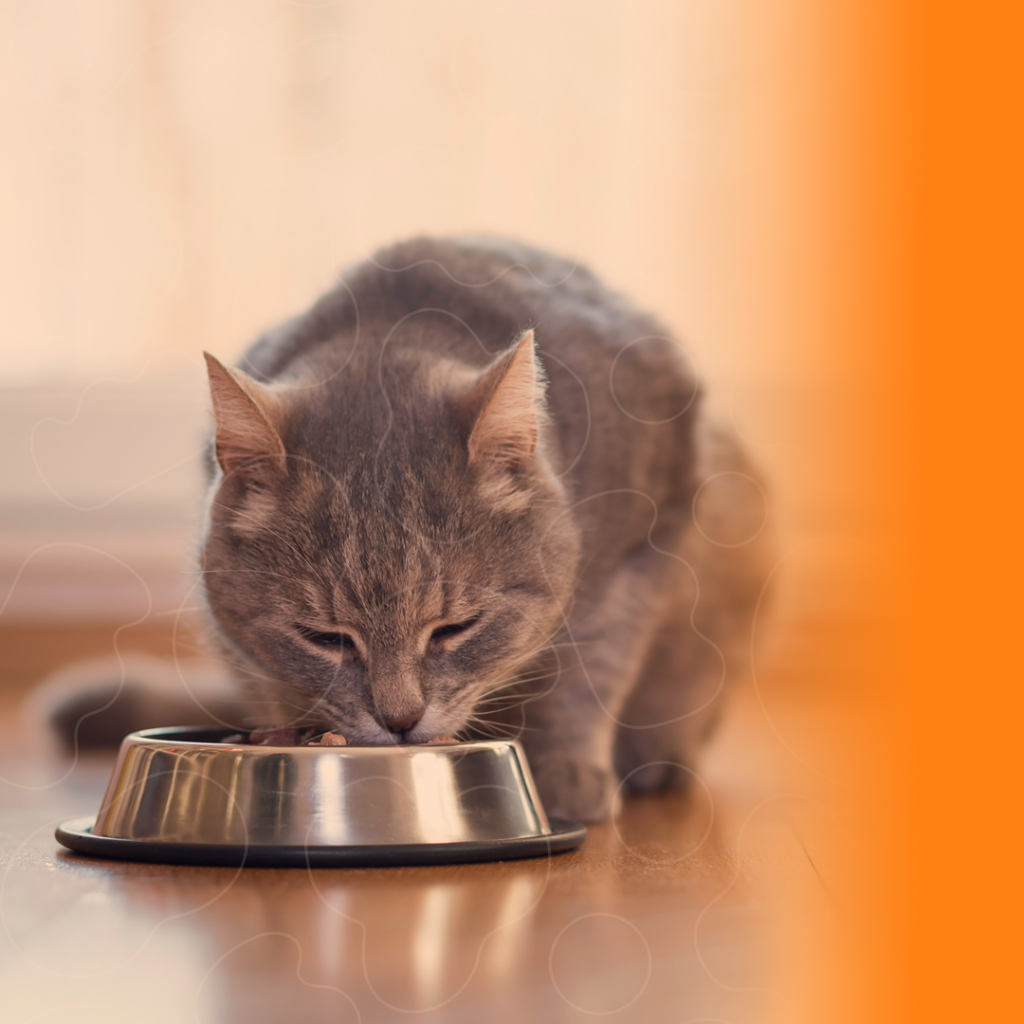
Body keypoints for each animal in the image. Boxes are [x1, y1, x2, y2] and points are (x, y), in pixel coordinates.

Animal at [49, 235, 770, 819]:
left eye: (456, 629)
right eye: (324, 637)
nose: (399, 720)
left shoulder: (643, 543)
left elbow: (589, 670)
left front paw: (566, 769)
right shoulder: (240, 639)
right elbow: (273, 681)